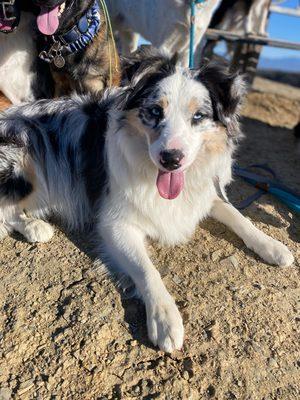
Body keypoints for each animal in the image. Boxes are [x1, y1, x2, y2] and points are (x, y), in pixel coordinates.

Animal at [0, 47, 292, 354]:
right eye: (155, 111)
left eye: (199, 116)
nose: (171, 159)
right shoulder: (114, 223)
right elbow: (146, 269)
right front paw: (165, 319)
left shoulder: (201, 193)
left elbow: (237, 215)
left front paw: (272, 246)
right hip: (24, 162)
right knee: (6, 211)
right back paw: (35, 227)